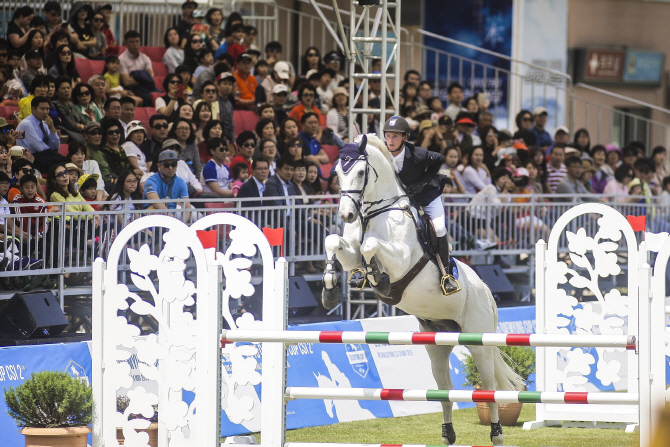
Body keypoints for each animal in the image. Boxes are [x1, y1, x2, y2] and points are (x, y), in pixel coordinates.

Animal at [322, 135, 528, 446]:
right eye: (337, 173)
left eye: (359, 172)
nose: (346, 214)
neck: (376, 213)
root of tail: (487, 292)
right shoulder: (350, 253)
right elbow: (334, 241)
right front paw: (332, 288)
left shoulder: (400, 260)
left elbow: (371, 246)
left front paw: (378, 278)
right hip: (436, 344)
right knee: (444, 389)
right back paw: (448, 434)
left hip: (479, 340)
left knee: (489, 386)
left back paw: (496, 433)